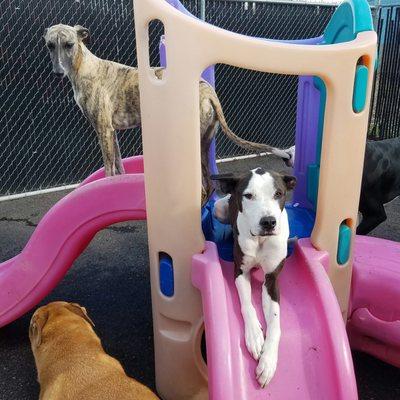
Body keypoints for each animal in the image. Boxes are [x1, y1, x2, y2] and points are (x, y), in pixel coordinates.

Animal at [45, 23, 292, 205]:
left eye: (69, 44)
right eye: (49, 45)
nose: (57, 73)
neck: (85, 67)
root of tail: (208, 91)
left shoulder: (103, 130)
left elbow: (108, 169)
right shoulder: (111, 131)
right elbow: (118, 166)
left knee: (202, 186)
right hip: (204, 142)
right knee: (208, 184)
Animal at [211, 169, 296, 388]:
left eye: (278, 193)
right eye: (248, 196)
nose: (268, 222)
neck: (260, 238)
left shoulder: (272, 279)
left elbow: (275, 322)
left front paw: (268, 362)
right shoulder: (240, 272)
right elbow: (247, 305)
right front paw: (255, 336)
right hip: (219, 208)